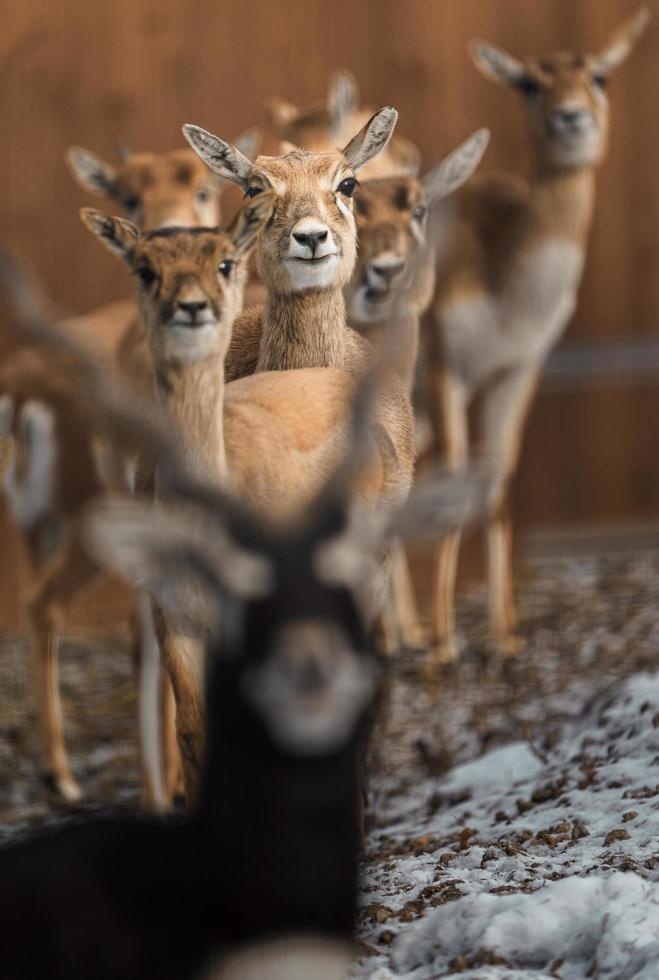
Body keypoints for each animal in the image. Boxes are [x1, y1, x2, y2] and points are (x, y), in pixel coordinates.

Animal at [428, 7, 648, 664]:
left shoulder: (518, 370)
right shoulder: (446, 367)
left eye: (599, 74)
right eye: (528, 82)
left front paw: (505, 636)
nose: (569, 116)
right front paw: (445, 646)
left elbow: (498, 485)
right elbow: (453, 485)